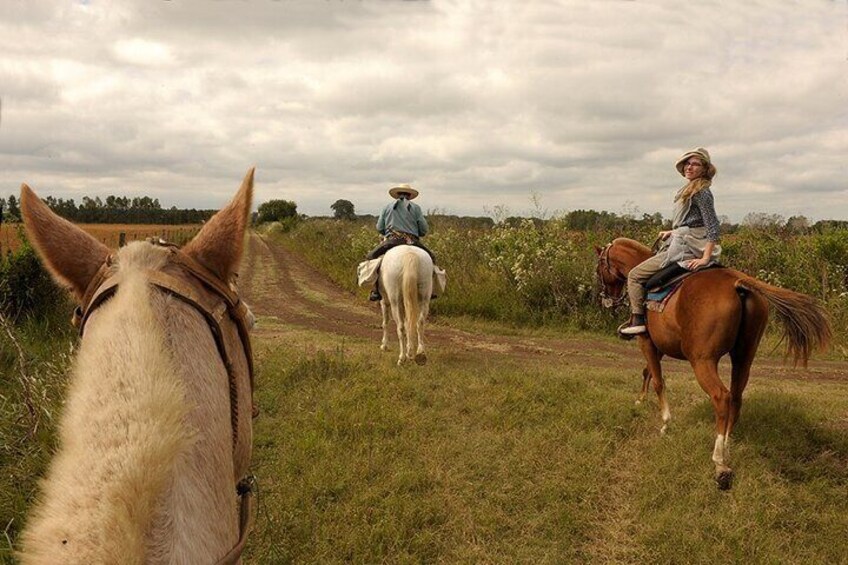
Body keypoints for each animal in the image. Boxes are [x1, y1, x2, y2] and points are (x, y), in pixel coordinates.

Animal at [596, 236, 828, 486]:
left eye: (599, 268)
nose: (606, 300)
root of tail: (738, 284)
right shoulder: (660, 347)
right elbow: (648, 371)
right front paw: (640, 400)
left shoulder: (646, 341)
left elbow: (658, 380)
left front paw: (665, 423)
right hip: (743, 357)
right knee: (735, 397)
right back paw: (726, 444)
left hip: (702, 361)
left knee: (721, 397)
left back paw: (719, 462)